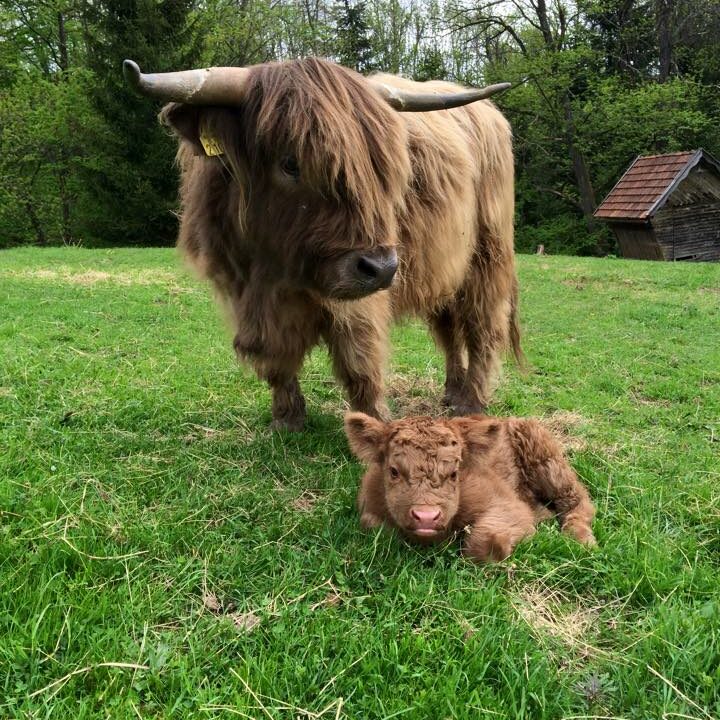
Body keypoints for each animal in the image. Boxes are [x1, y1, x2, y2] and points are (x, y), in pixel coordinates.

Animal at [122, 59, 516, 430]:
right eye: (290, 164)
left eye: (383, 171)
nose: (383, 268)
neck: (271, 270)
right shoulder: (241, 293)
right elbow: (276, 359)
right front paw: (286, 419)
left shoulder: (356, 299)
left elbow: (359, 358)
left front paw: (373, 422)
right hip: (445, 268)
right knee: (448, 329)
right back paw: (452, 391)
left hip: (488, 257)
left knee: (482, 328)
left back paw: (471, 402)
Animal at [344, 410, 596, 564]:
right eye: (394, 471)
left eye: (454, 473)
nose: (426, 517)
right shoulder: (369, 506)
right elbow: (374, 525)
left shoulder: (508, 505)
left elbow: (485, 542)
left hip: (546, 459)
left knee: (576, 499)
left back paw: (580, 538)